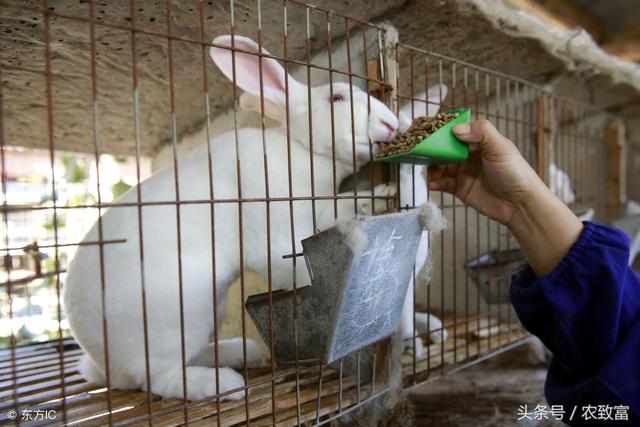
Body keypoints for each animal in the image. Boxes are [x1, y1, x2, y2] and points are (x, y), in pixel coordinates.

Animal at [62, 35, 398, 402]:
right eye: (337, 98)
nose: (392, 124)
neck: (301, 151)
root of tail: (104, 364)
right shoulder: (274, 234)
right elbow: (292, 268)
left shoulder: (320, 208)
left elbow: (344, 208)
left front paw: (383, 193)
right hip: (179, 317)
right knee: (159, 378)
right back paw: (225, 384)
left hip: (211, 311)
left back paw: (244, 352)